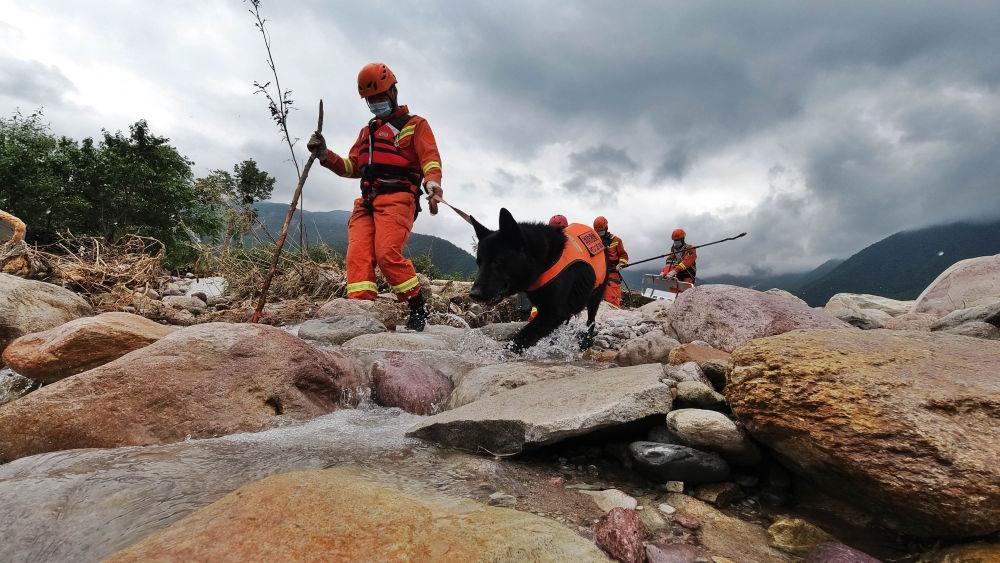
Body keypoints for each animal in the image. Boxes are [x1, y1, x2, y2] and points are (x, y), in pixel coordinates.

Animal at [470, 208, 608, 352]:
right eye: (479, 263)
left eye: (497, 261)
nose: (473, 294)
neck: (546, 260)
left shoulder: (553, 314)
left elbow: (521, 338)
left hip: (595, 295)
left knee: (591, 320)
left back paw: (586, 342)